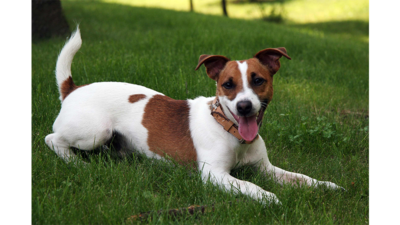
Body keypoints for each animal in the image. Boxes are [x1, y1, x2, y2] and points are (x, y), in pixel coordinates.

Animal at [44, 27, 344, 205]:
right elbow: (249, 185)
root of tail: (72, 89)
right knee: (52, 139)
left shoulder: (266, 168)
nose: (244, 106)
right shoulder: (215, 175)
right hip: (96, 132)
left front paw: (326, 186)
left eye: (258, 80)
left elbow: (301, 178)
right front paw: (269, 197)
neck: (229, 130)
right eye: (227, 84)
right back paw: (77, 163)